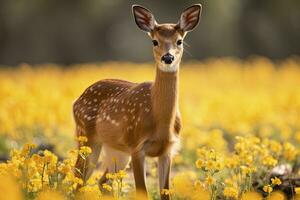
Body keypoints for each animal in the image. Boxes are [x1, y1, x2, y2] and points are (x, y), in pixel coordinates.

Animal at [74, 3, 203, 199]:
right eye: (154, 41)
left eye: (179, 41)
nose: (168, 58)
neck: (161, 123)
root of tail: (77, 100)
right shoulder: (136, 145)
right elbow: (143, 192)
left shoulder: (168, 150)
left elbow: (165, 193)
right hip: (87, 137)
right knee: (77, 180)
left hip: (116, 150)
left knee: (102, 181)